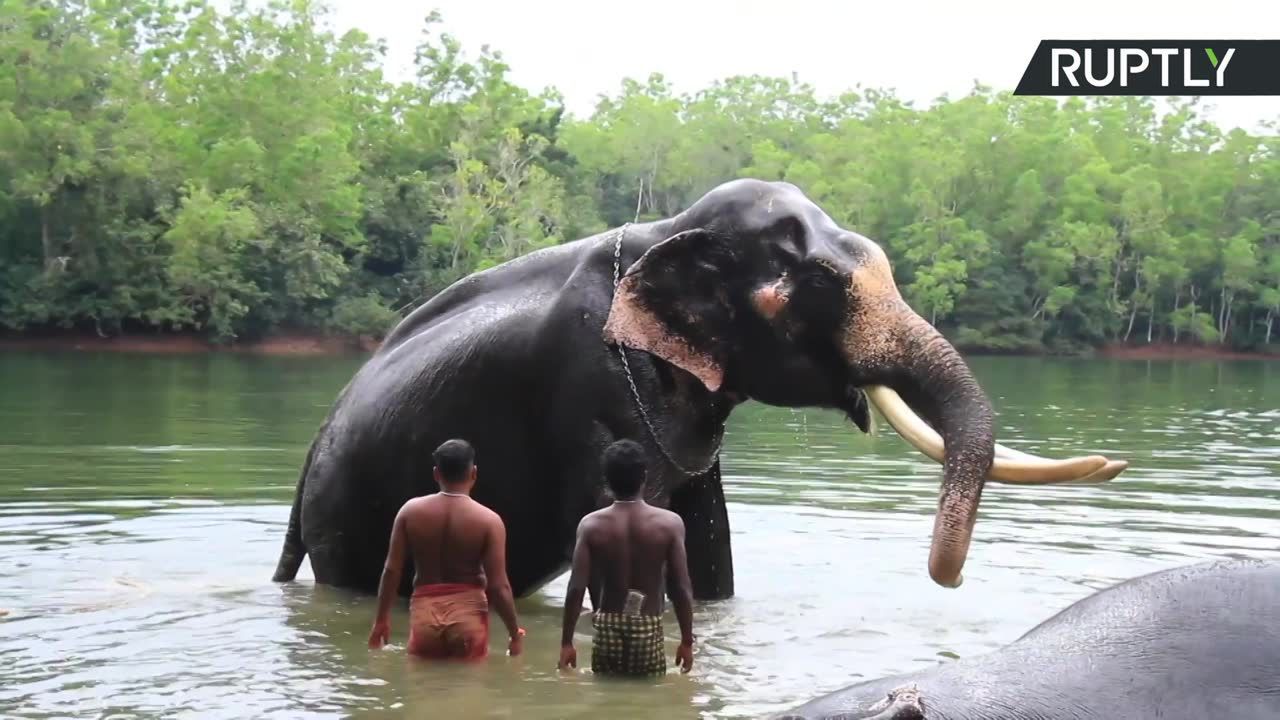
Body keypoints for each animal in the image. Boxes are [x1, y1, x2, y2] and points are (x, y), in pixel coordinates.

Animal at [267, 179, 1121, 599]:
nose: (950, 579)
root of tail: (304, 464)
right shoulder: (592, 392)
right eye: (818, 284)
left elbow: (707, 542)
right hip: (348, 519)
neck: (664, 231)